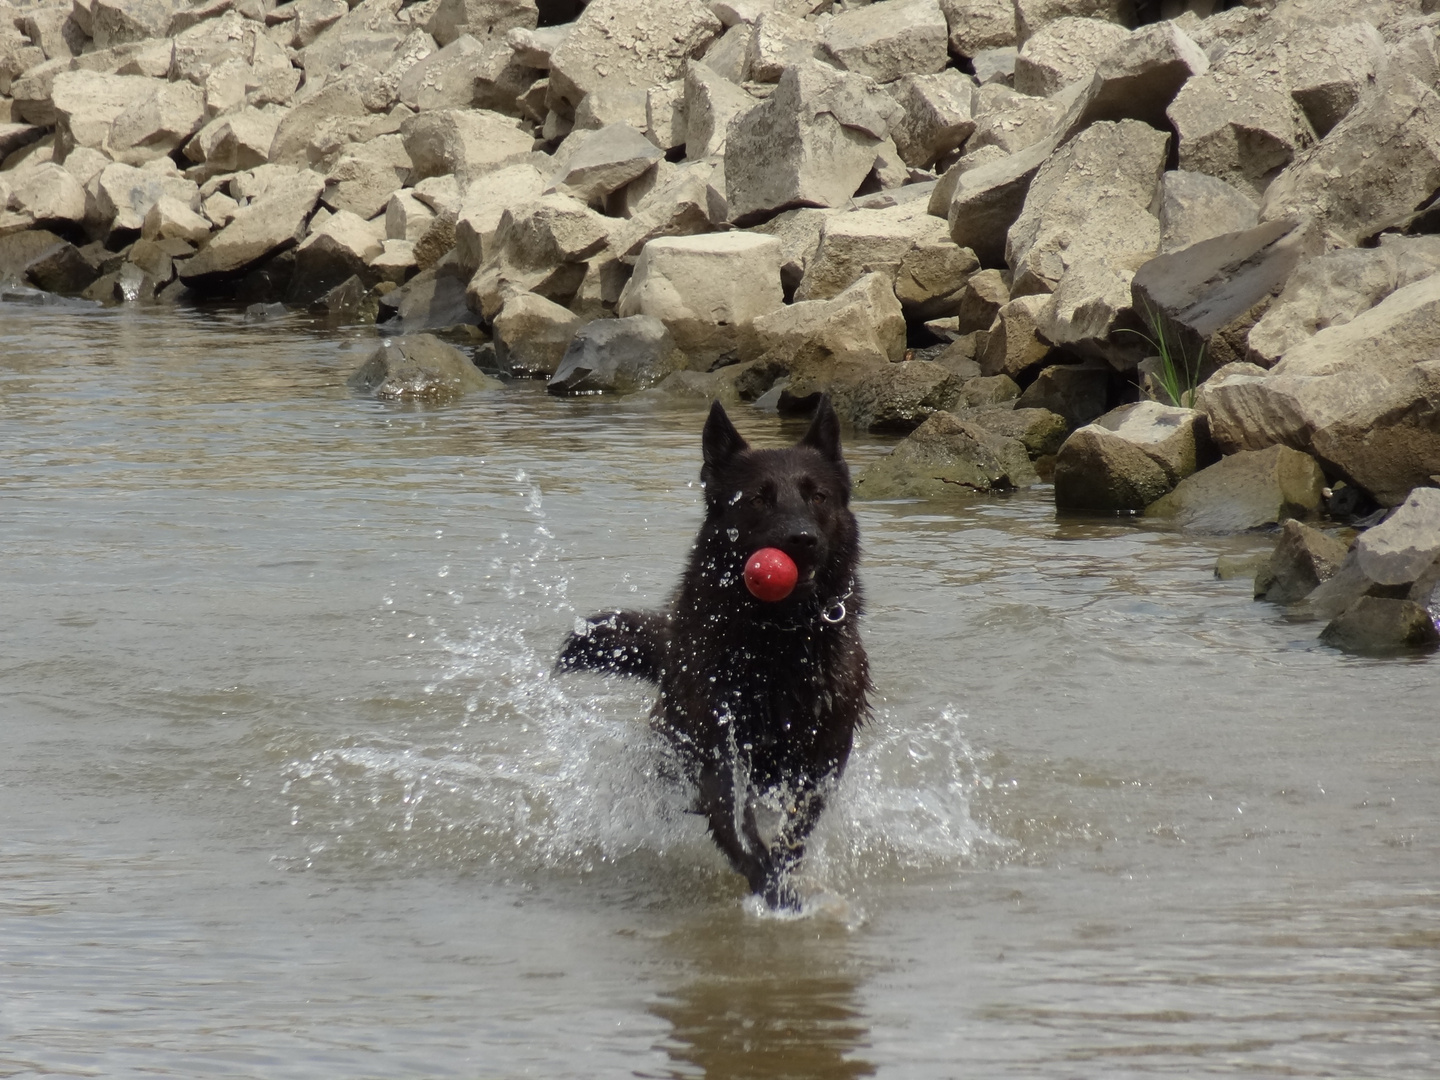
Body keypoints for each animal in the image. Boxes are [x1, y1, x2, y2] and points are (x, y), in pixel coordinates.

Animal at [555, 394, 869, 910]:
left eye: (818, 496)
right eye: (758, 497)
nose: (802, 540)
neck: (775, 636)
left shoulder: (824, 756)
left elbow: (796, 828)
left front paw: (781, 877)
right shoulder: (717, 746)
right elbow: (731, 818)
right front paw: (767, 883)